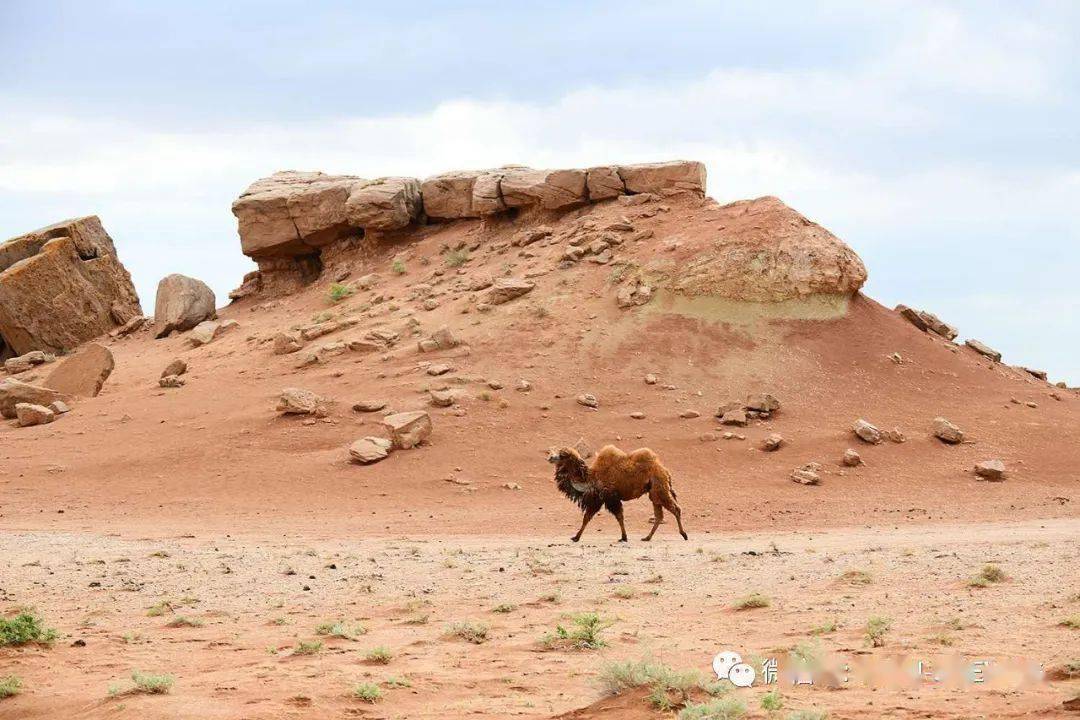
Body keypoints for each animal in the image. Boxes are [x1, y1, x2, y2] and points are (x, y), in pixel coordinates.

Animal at [544, 444, 686, 539]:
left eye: (562, 455)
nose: (550, 458)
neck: (591, 479)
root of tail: (665, 470)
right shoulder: (604, 499)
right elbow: (610, 517)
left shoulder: (608, 497)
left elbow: (597, 517)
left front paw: (576, 537)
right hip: (654, 492)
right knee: (659, 515)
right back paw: (647, 537)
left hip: (659, 487)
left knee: (675, 509)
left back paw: (684, 534)